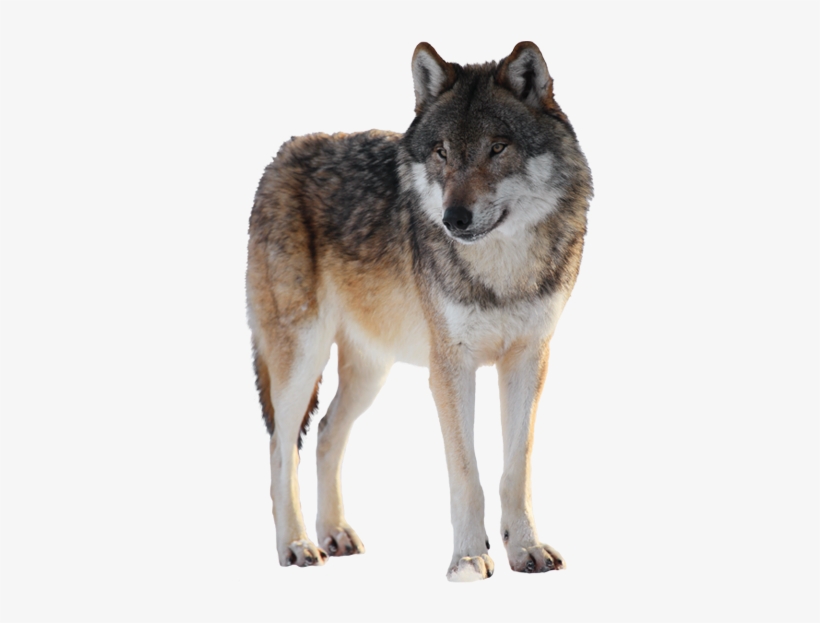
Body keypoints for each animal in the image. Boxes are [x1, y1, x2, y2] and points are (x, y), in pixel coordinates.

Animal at [246, 41, 592, 581]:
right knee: (281, 449)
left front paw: (526, 549)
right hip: (300, 360)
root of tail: (284, 152)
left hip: (371, 371)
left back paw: (335, 534)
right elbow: (467, 474)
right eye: (441, 151)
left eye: (498, 148)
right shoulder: (450, 367)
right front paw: (469, 559)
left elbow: (516, 470)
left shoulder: (529, 360)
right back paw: (297, 545)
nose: (454, 219)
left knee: (325, 433)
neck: (501, 271)